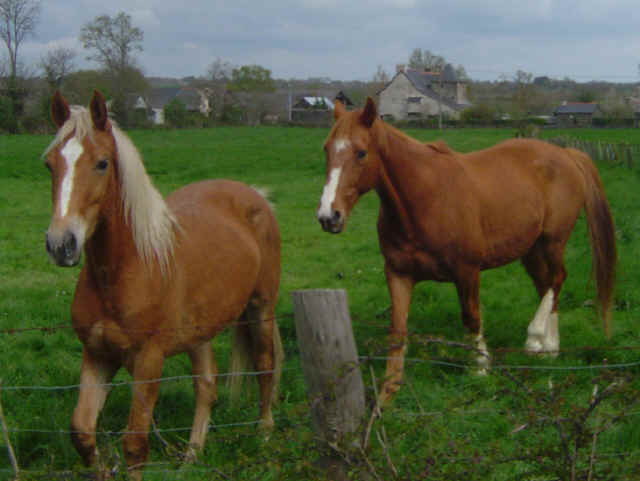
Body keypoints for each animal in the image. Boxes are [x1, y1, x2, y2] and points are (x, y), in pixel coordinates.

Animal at [43, 90, 283, 479]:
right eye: (50, 164)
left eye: (102, 163)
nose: (61, 244)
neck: (126, 270)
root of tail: (257, 196)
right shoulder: (97, 354)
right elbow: (82, 432)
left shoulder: (148, 360)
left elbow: (135, 445)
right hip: (200, 332)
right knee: (207, 385)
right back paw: (191, 456)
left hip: (260, 308)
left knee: (264, 366)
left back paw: (263, 434)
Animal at [317, 98, 616, 405]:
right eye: (327, 148)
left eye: (361, 152)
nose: (329, 216)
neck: (425, 198)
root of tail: (566, 154)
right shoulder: (398, 273)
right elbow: (397, 331)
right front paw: (388, 392)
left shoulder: (467, 271)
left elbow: (471, 318)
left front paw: (481, 367)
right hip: (530, 250)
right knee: (546, 285)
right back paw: (550, 347)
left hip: (553, 242)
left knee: (557, 280)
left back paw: (535, 339)